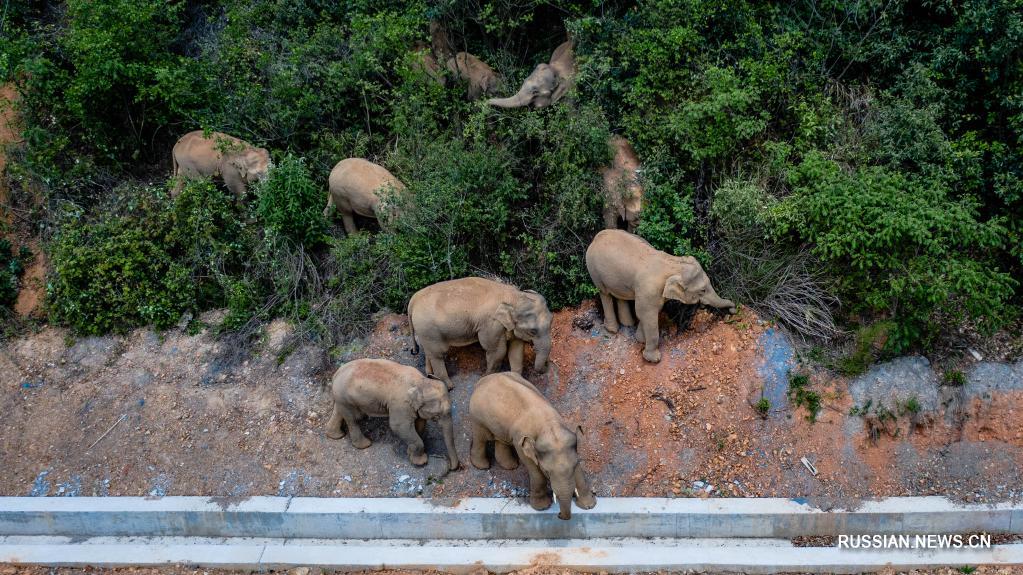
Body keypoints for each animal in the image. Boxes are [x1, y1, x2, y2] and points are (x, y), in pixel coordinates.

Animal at [327, 358, 460, 470]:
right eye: (437, 416)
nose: (451, 467)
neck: (420, 381)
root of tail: (335, 375)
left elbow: (419, 423)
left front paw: (410, 453)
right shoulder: (400, 404)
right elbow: (399, 426)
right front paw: (421, 462)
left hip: (342, 398)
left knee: (339, 412)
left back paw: (335, 435)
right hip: (345, 398)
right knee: (353, 419)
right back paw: (365, 444)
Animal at [405, 276, 552, 386]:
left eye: (551, 321)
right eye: (533, 331)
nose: (548, 364)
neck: (514, 296)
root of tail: (413, 300)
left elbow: (516, 350)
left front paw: (516, 378)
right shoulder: (491, 325)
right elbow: (497, 351)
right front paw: (485, 378)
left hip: (425, 331)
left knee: (429, 351)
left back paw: (430, 376)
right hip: (429, 329)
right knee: (438, 354)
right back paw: (449, 386)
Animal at [468, 368, 597, 517]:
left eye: (575, 464)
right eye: (547, 471)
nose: (559, 515)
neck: (548, 426)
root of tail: (483, 380)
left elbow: (578, 471)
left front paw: (589, 505)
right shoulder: (521, 442)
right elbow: (534, 470)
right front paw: (542, 507)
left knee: (501, 439)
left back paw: (510, 466)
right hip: (477, 417)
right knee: (481, 437)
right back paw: (482, 466)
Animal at [585, 229, 736, 360]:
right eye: (702, 290)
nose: (733, 310)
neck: (673, 264)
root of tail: (597, 236)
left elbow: (650, 312)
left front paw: (640, 339)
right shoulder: (649, 290)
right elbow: (646, 314)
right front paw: (653, 358)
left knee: (620, 296)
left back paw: (627, 324)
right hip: (593, 269)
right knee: (604, 293)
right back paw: (612, 330)